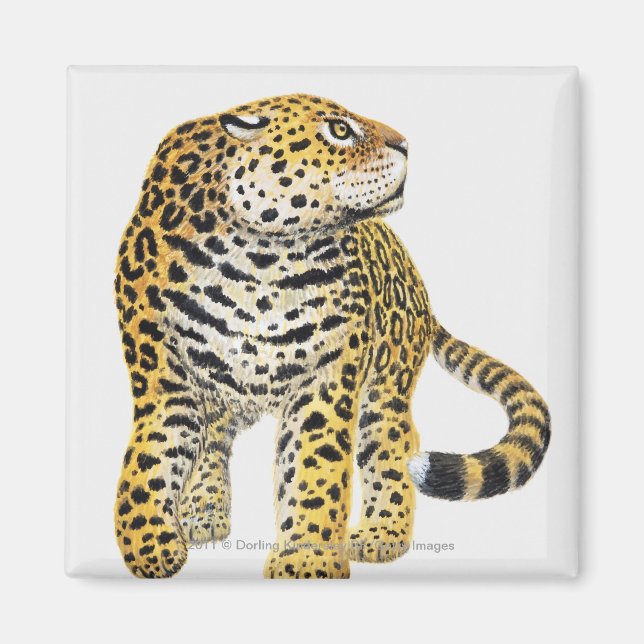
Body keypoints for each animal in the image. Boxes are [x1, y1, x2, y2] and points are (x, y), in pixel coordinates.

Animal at [113, 93, 551, 579]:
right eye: (339, 131)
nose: (406, 144)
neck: (256, 259)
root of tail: (415, 277)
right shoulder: (166, 376)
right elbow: (151, 458)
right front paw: (148, 546)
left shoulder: (325, 379)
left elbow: (313, 472)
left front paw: (307, 561)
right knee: (215, 435)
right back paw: (203, 510)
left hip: (386, 381)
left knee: (391, 446)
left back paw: (382, 533)